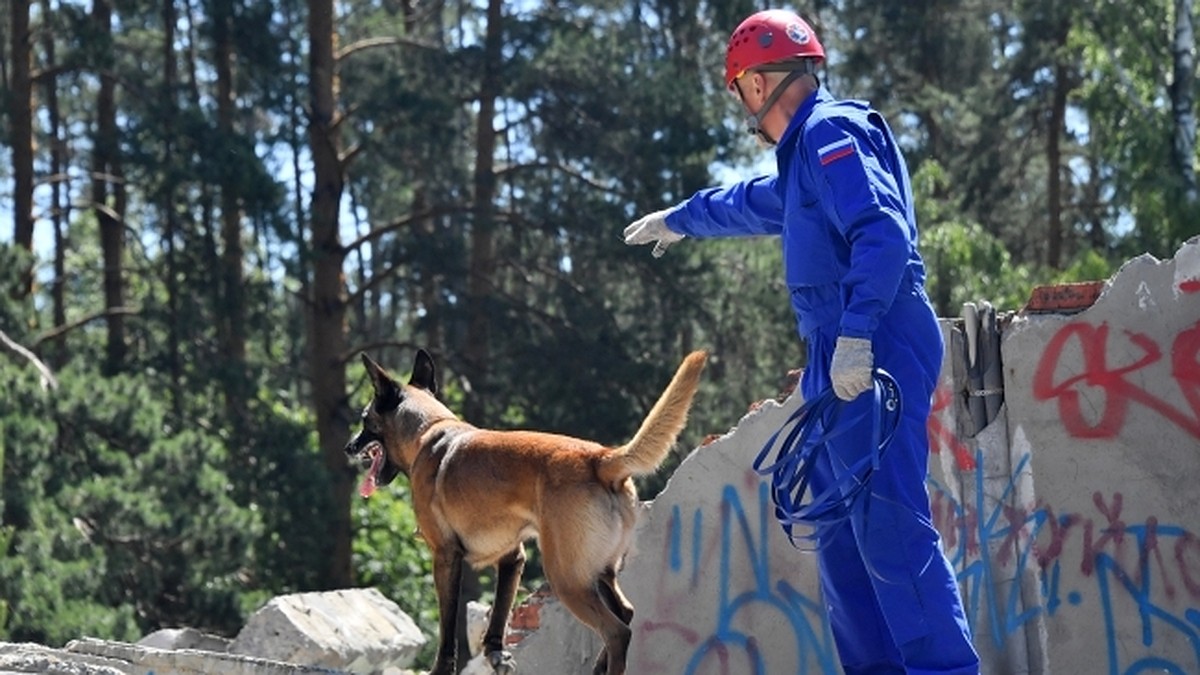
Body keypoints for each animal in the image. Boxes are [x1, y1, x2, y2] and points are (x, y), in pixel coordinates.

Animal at [345, 348, 700, 667]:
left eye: (365, 420)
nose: (348, 446)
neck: (430, 431)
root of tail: (600, 459)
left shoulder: (445, 556)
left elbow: (448, 631)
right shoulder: (512, 558)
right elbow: (500, 614)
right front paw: (495, 653)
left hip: (566, 578)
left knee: (616, 631)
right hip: (598, 571)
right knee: (626, 614)